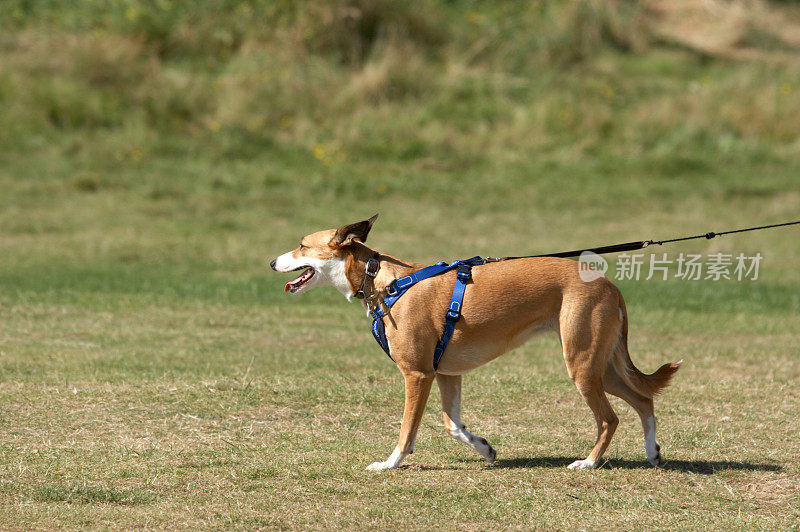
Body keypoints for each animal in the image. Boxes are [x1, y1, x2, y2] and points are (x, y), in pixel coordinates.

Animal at [270, 214, 680, 472]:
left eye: (302, 245)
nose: (272, 262)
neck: (385, 281)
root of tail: (609, 284)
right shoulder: (446, 373)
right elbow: (453, 425)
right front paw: (484, 448)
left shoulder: (417, 375)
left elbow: (406, 431)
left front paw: (389, 464)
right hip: (600, 365)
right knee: (644, 400)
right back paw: (653, 453)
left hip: (581, 365)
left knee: (610, 419)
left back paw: (589, 462)